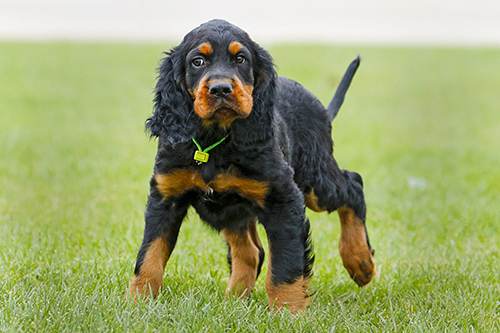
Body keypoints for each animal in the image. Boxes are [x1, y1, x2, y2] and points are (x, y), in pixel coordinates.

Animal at [129, 20, 376, 312]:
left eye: (241, 59)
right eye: (197, 61)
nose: (221, 89)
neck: (215, 142)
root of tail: (322, 109)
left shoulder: (283, 199)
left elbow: (285, 264)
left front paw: (288, 312)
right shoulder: (166, 196)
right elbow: (149, 255)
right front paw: (136, 303)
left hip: (314, 181)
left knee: (353, 184)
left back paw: (360, 262)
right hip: (234, 210)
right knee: (250, 251)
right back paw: (233, 301)